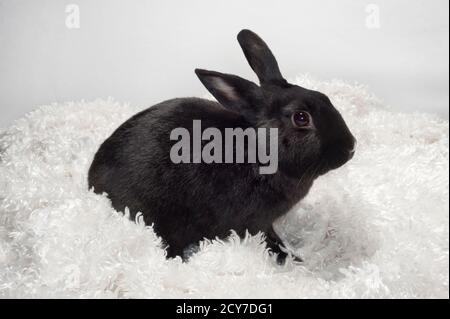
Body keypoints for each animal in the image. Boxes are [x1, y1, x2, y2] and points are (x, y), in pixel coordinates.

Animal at [88, 30, 356, 264]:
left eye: (324, 97)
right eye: (301, 118)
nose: (351, 147)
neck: (258, 153)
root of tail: (92, 178)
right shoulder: (256, 222)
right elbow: (268, 239)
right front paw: (288, 258)